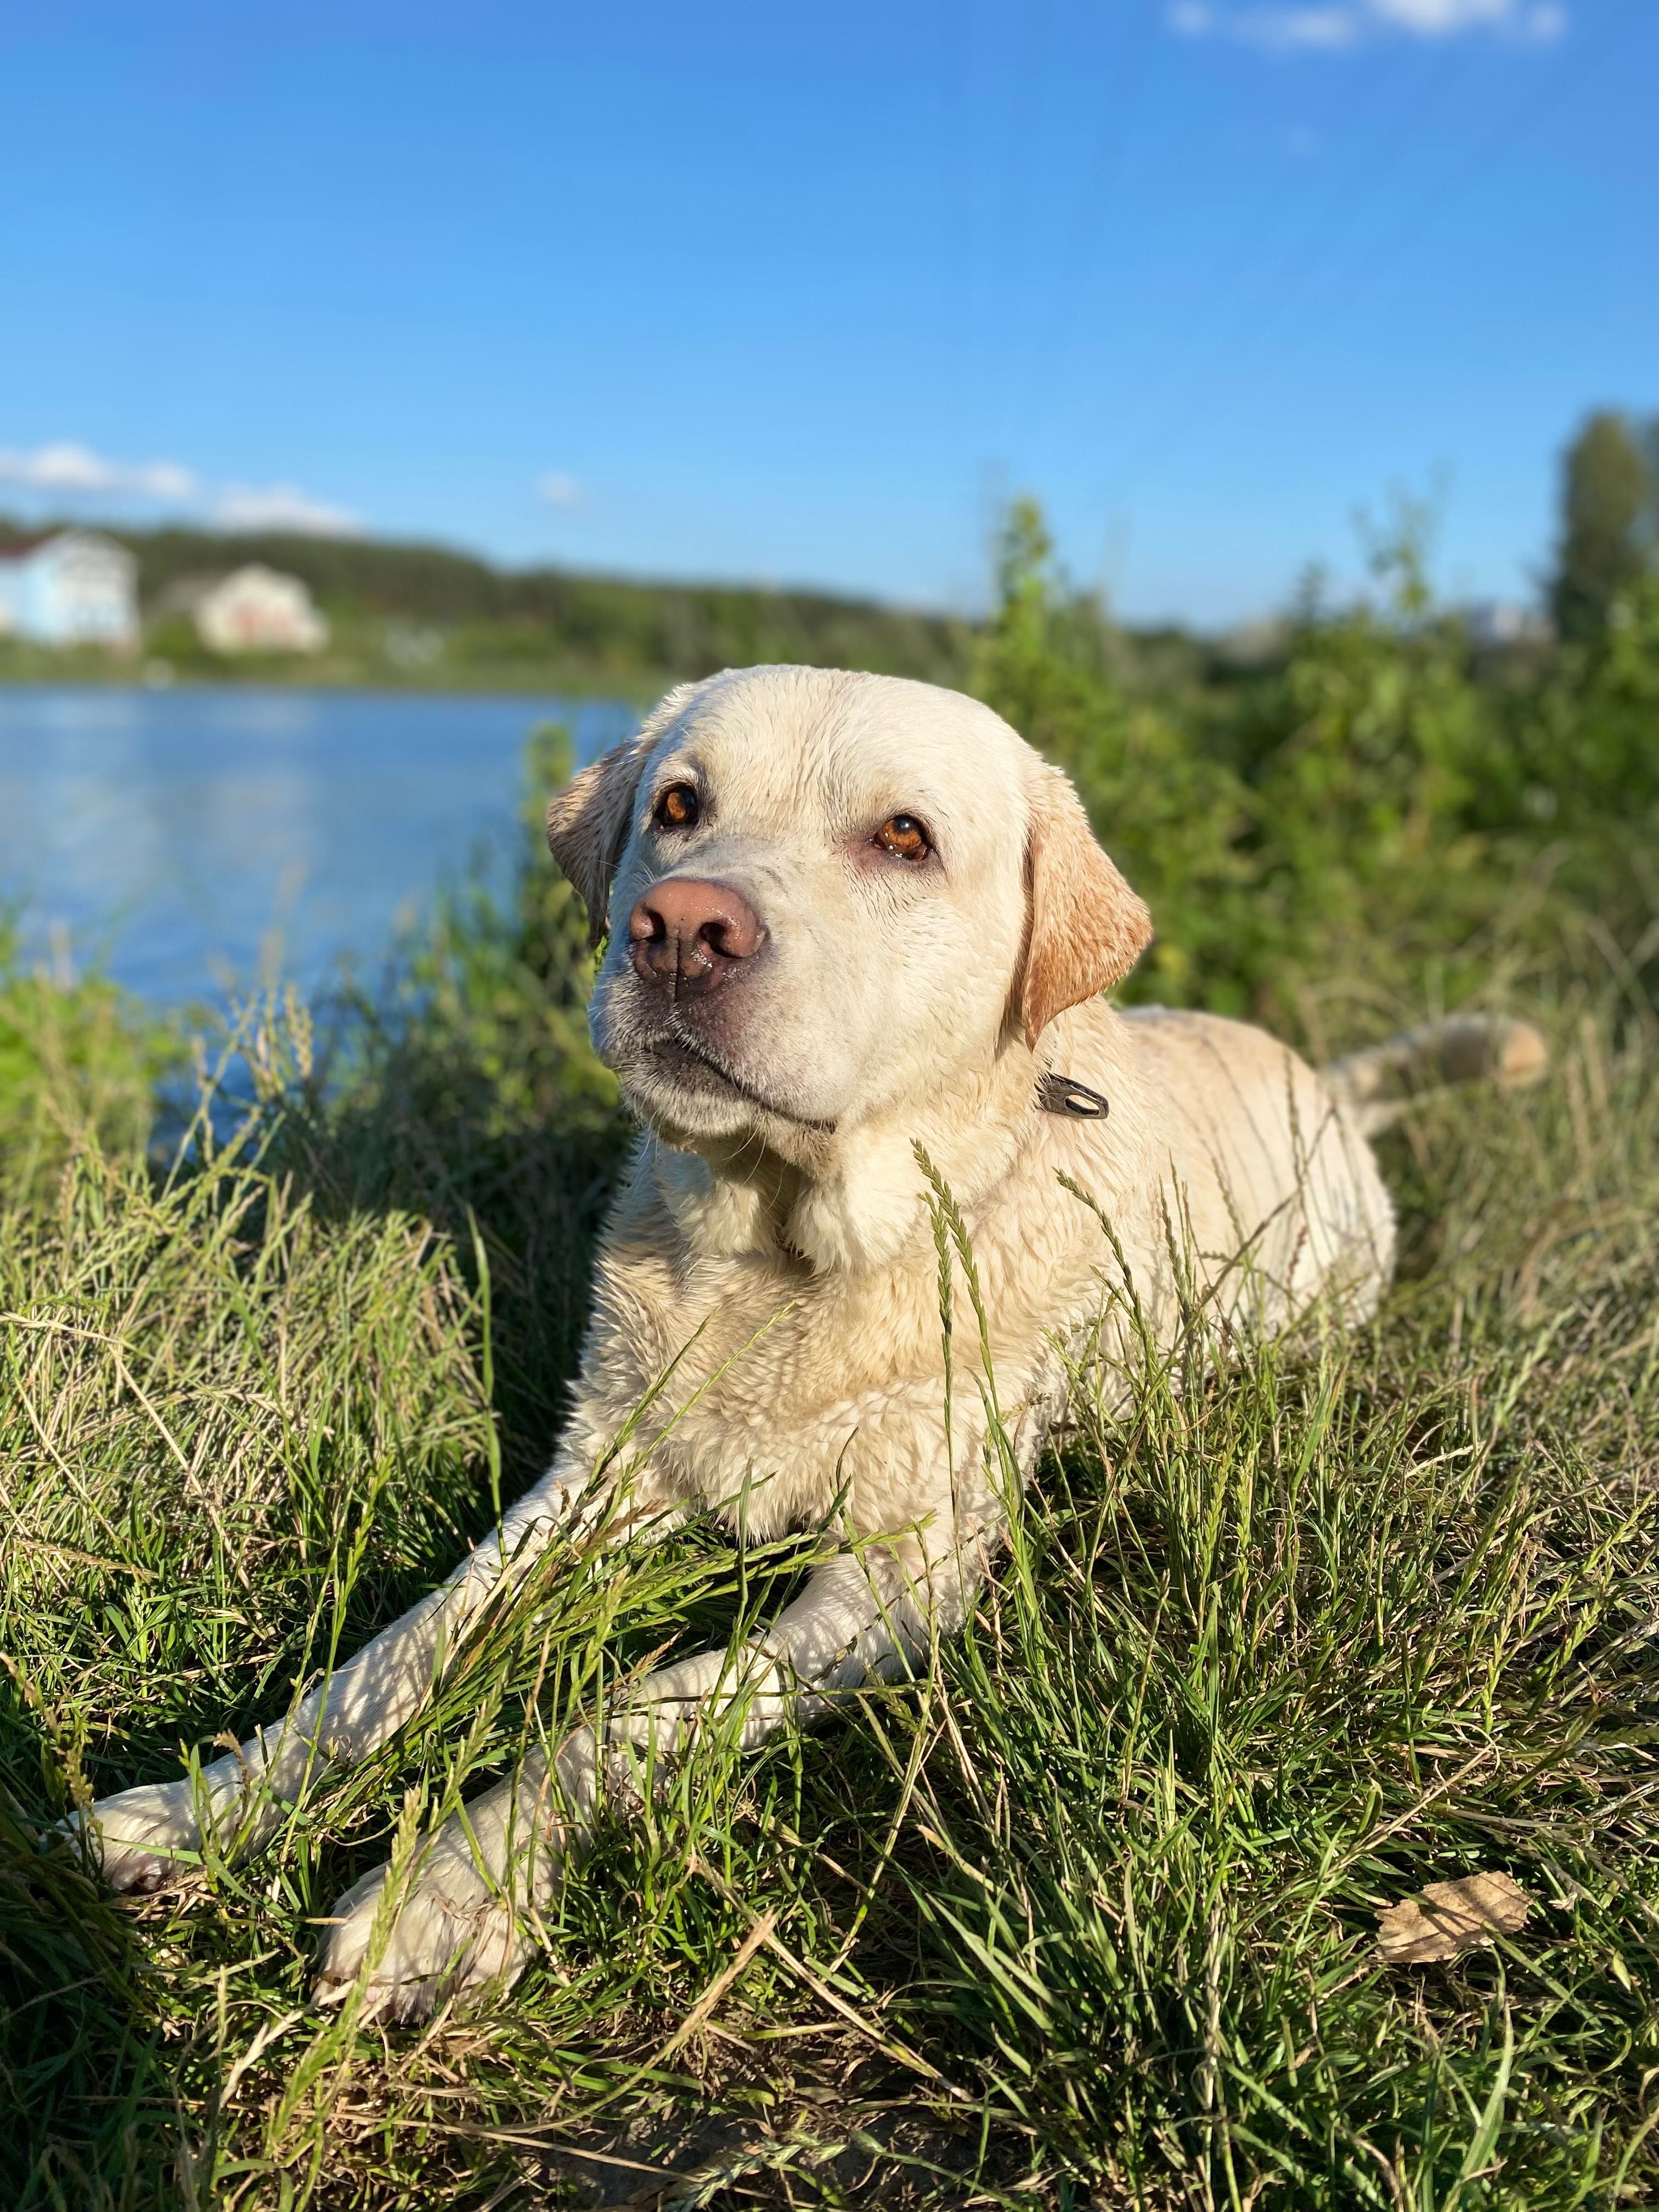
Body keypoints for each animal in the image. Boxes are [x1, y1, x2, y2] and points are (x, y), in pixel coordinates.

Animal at [75, 663, 1548, 2017]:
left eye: (903, 837)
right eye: (679, 807)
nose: (681, 928)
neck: (789, 1262)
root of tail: (1328, 1081)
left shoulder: (892, 1584)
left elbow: (627, 1711)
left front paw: (444, 1889)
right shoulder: (591, 1480)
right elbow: (393, 1659)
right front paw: (193, 1809)